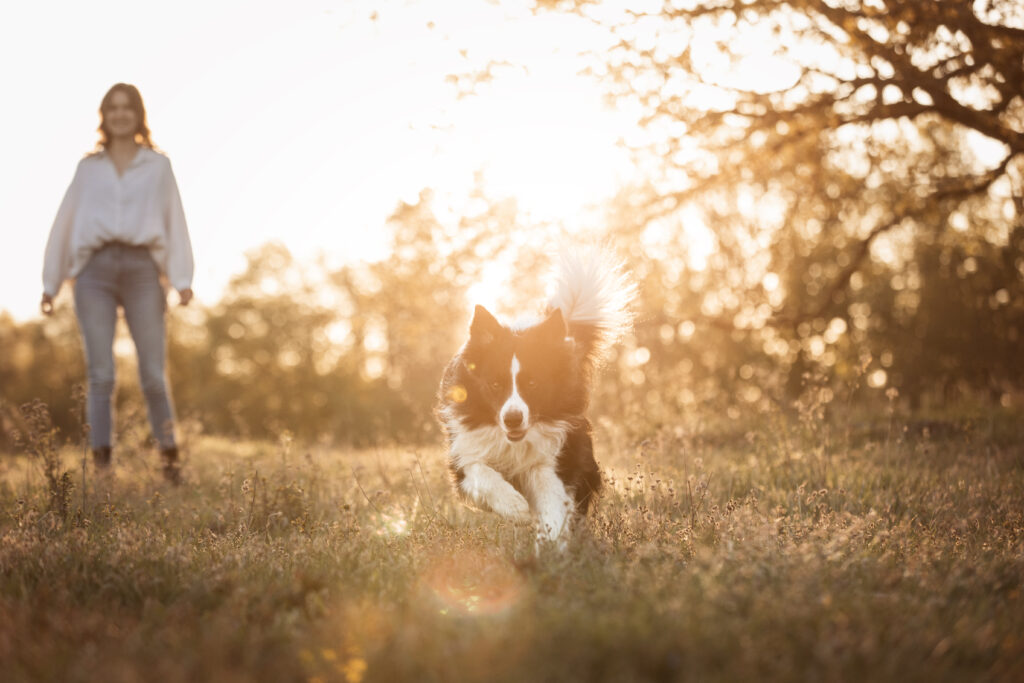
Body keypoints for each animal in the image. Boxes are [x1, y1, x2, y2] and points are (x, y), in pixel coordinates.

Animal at [438, 249, 634, 544]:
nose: (513, 419)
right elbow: (481, 472)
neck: (513, 442)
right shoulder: (466, 453)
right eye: (495, 384)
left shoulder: (553, 457)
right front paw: (515, 507)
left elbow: (553, 500)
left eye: (532, 383)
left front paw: (551, 545)